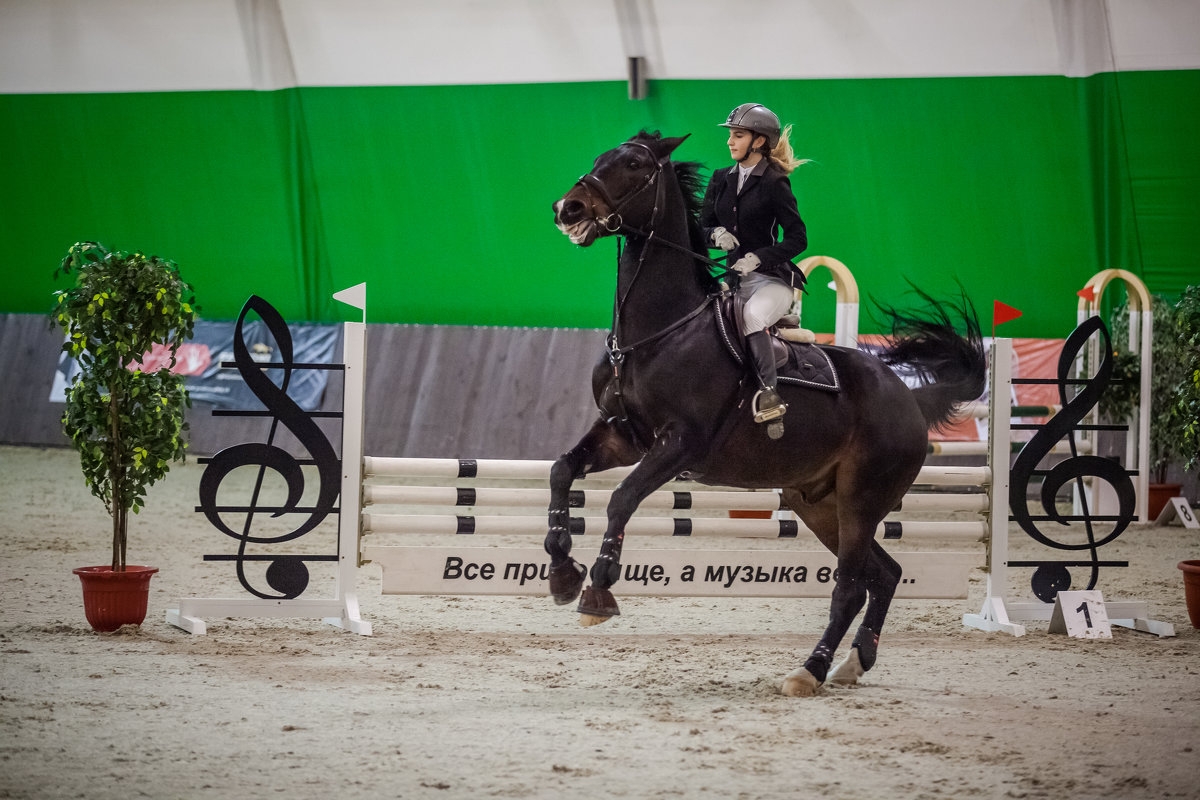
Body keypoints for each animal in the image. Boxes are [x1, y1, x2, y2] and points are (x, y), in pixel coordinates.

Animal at [547, 131, 984, 695]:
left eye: (636, 164)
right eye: (601, 157)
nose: (568, 208)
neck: (659, 332)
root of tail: (907, 399)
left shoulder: (679, 443)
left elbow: (622, 499)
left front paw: (598, 590)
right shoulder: (623, 435)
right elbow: (562, 470)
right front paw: (561, 570)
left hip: (861, 501)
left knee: (850, 588)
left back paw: (809, 671)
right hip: (817, 504)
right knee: (882, 576)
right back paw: (853, 663)